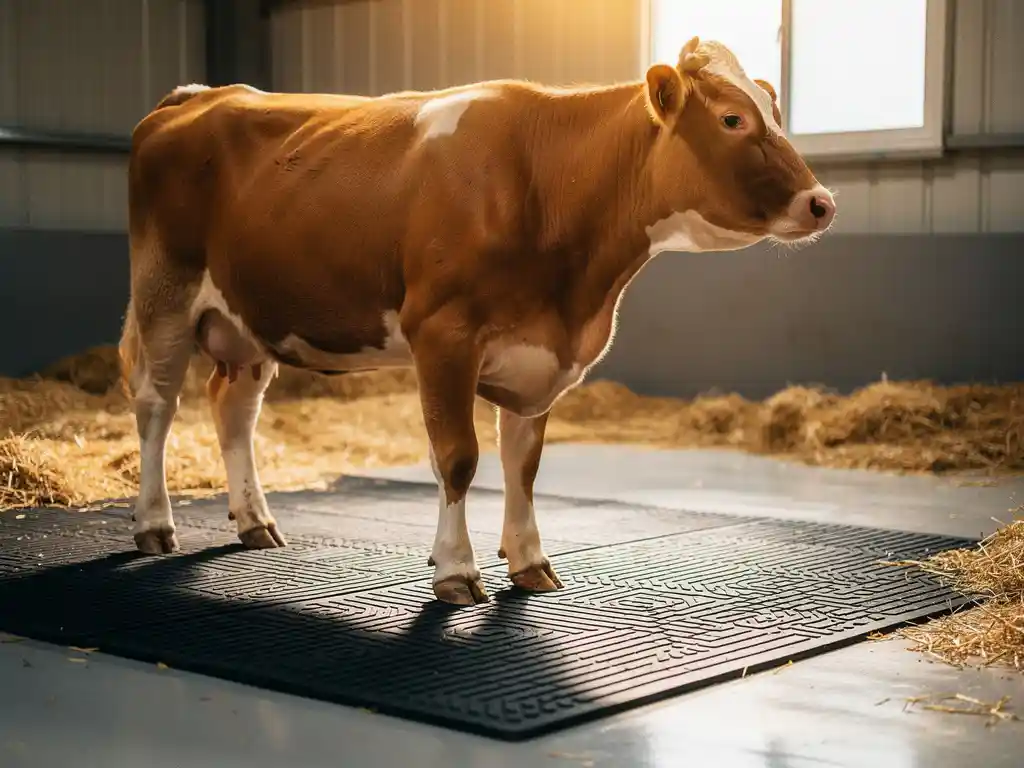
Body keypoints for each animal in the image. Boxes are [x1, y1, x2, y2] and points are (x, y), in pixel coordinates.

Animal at [118, 36, 836, 606]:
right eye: (732, 118)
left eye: (775, 113)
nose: (822, 202)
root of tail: (196, 95)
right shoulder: (442, 334)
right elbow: (458, 458)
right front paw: (456, 572)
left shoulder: (540, 351)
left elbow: (523, 464)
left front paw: (529, 561)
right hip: (165, 291)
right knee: (156, 404)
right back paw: (154, 523)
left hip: (247, 317)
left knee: (232, 406)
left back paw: (254, 521)